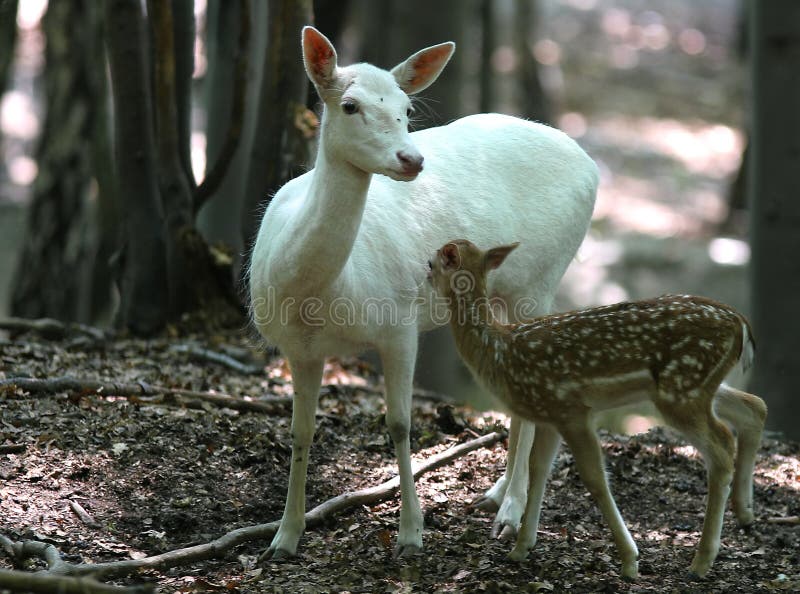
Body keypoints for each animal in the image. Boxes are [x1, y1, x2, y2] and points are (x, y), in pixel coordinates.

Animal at [250, 26, 600, 556]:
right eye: (349, 105)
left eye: (407, 108)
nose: (411, 158)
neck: (316, 294)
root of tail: (592, 164)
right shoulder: (298, 349)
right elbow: (300, 431)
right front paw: (284, 537)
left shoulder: (399, 323)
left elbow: (400, 424)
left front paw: (411, 534)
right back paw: (496, 495)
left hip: (540, 278)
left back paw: (510, 511)